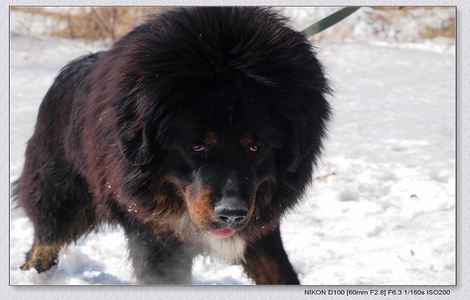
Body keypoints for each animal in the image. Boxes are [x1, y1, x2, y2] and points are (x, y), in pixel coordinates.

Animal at [15, 7, 330, 284]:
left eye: (255, 147)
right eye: (197, 147)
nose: (231, 212)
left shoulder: (260, 226)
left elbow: (281, 274)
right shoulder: (157, 236)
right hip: (62, 192)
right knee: (45, 235)